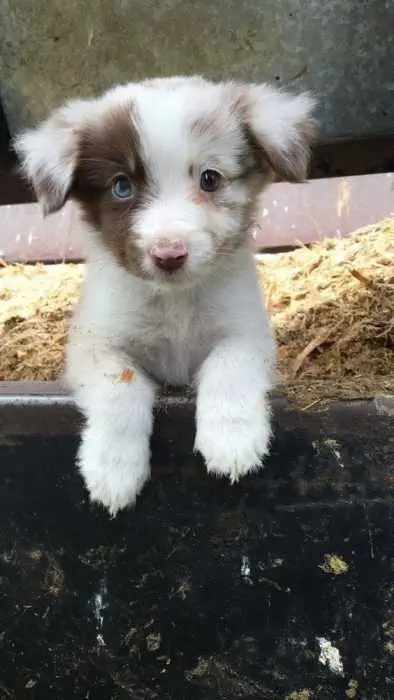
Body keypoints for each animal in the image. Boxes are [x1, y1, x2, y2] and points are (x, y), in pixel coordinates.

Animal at [15, 78, 316, 516]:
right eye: (122, 186)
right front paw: (113, 468)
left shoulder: (247, 332)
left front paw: (232, 439)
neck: (176, 302)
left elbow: (229, 364)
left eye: (210, 178)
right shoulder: (93, 345)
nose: (169, 254)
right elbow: (120, 387)